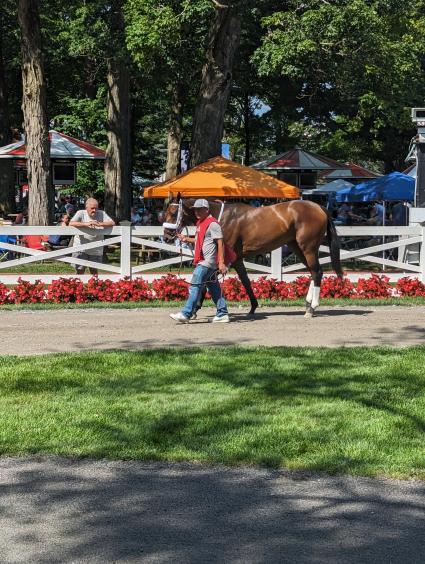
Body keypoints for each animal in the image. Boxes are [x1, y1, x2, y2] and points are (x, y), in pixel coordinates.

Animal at [161, 196, 342, 316]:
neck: (222, 218)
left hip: (308, 247)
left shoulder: (226, 258)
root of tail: (319, 207)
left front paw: (193, 310)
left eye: (173, 212)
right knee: (313, 271)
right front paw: (253, 307)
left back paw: (312, 307)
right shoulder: (237, 259)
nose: (167, 236)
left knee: (317, 272)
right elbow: (245, 281)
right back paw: (308, 304)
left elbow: (205, 282)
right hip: (297, 247)